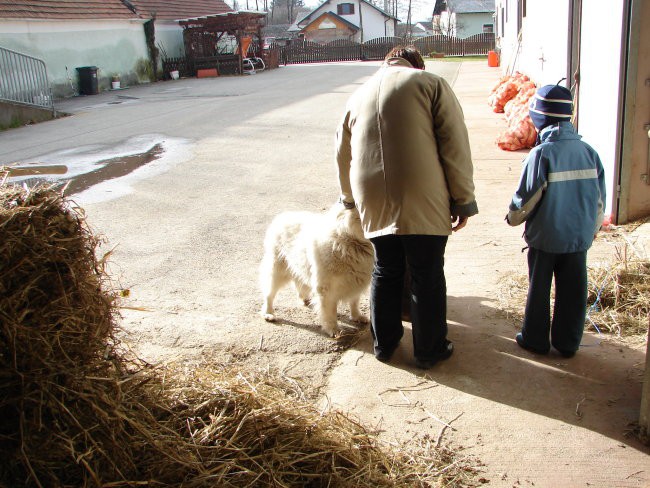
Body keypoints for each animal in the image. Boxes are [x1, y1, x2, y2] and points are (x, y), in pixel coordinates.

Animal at [256, 202, 372, 336]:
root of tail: (282, 216)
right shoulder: (326, 289)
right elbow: (330, 312)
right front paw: (333, 330)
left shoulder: (356, 281)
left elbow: (354, 302)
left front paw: (357, 317)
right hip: (277, 271)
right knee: (269, 294)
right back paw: (268, 313)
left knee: (299, 283)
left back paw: (305, 299)